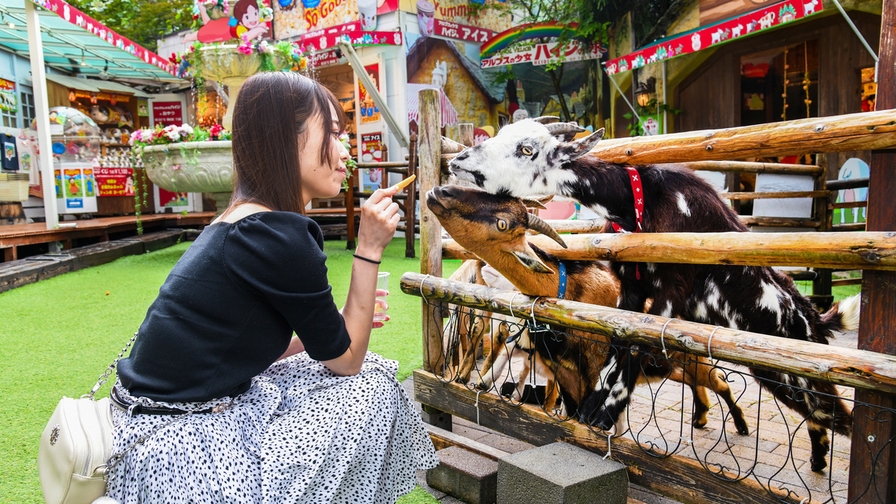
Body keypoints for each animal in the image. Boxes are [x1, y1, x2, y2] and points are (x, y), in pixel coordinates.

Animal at [452, 118, 864, 472]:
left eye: (527, 148)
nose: (457, 161)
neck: (640, 201)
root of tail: (815, 320)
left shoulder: (670, 291)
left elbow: (638, 343)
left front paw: (603, 413)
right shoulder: (632, 288)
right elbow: (618, 340)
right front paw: (592, 408)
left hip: (794, 374)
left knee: (839, 414)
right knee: (823, 414)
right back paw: (817, 459)